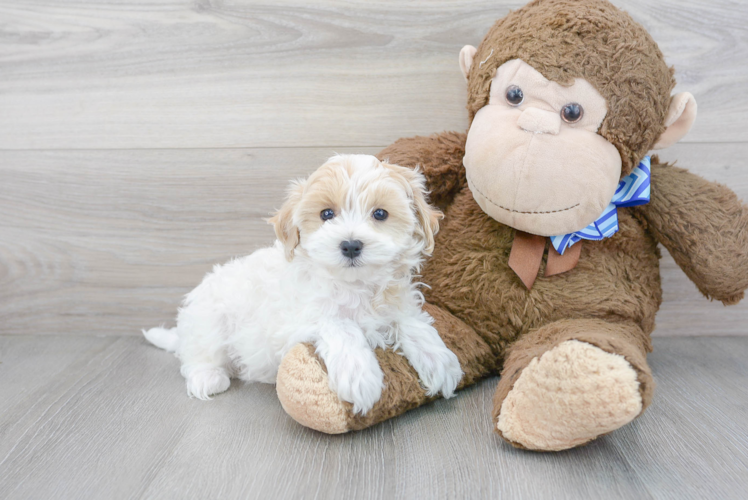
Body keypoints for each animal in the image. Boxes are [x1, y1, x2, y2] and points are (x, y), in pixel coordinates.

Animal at [143, 155, 464, 414]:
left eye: (380, 214)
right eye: (326, 214)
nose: (350, 245)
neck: (356, 286)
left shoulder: (397, 304)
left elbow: (411, 322)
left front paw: (439, 361)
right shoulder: (297, 321)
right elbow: (340, 325)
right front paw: (359, 375)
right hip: (208, 320)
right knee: (198, 353)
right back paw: (208, 377)